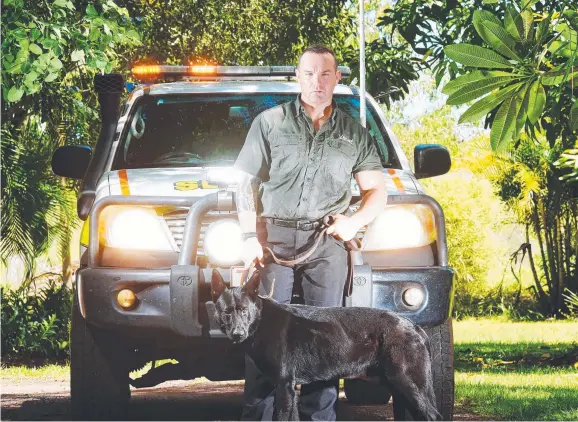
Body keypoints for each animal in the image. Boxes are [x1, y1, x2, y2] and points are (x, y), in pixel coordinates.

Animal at [209, 268, 438, 420]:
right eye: (227, 312)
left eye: (244, 311)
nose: (238, 334)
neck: (261, 320)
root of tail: (414, 326)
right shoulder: (288, 390)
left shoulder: (284, 387)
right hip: (400, 389)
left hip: (410, 386)